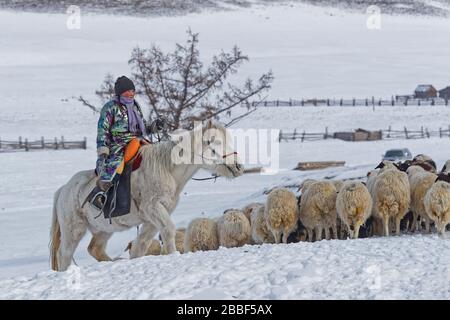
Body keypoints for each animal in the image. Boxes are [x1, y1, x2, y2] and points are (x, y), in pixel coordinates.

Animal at [50, 121, 243, 272]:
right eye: (214, 142)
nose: (238, 166)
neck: (167, 169)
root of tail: (63, 190)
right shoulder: (153, 209)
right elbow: (168, 231)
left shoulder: (153, 219)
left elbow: (140, 246)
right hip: (74, 230)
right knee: (64, 254)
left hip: (104, 229)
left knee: (94, 249)